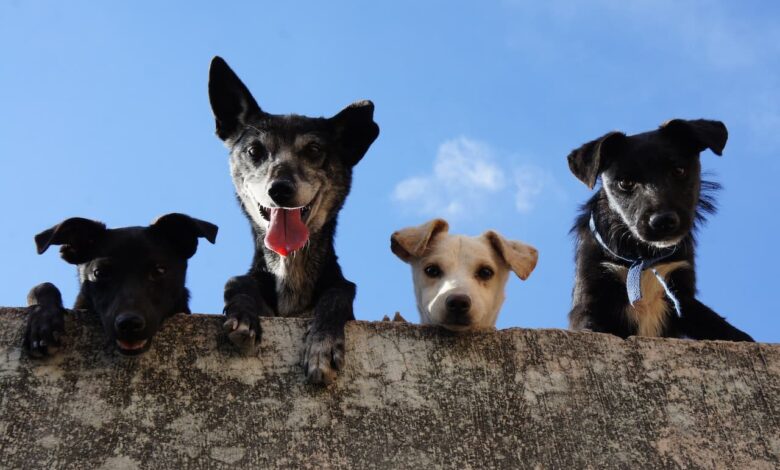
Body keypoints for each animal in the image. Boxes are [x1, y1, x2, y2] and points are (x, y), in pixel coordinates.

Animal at [206, 57, 380, 384]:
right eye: (254, 150)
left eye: (314, 150)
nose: (280, 189)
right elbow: (236, 281)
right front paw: (243, 317)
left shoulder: (339, 292)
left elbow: (338, 293)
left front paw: (322, 346)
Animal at [568, 118, 752, 342]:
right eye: (625, 182)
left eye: (679, 170)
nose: (663, 221)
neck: (643, 257)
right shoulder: (591, 294)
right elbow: (589, 326)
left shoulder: (682, 296)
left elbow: (720, 327)